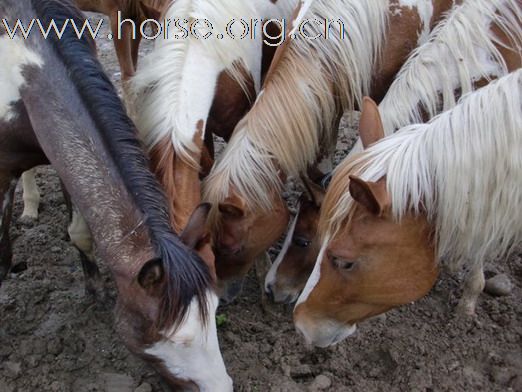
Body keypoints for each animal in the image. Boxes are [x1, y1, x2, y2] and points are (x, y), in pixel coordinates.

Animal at [0, 1, 232, 390]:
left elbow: (79, 230)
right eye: (176, 340)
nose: (223, 387)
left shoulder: (63, 152)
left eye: (214, 311)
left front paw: (96, 289)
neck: (25, 66)